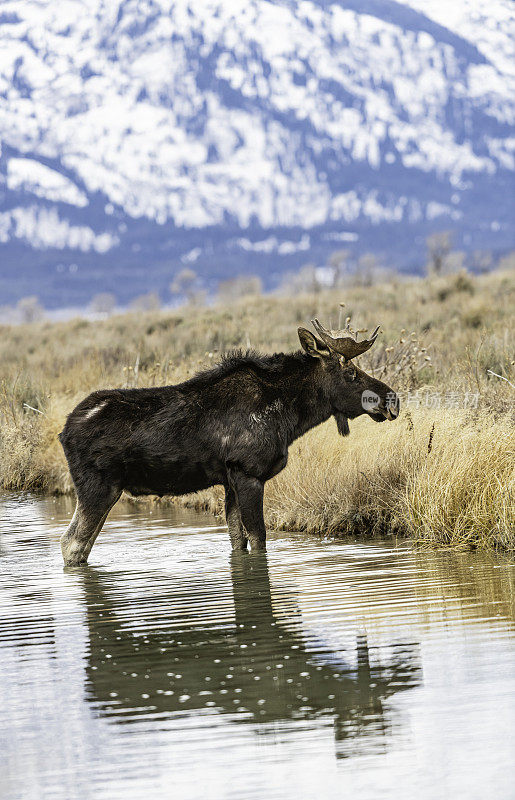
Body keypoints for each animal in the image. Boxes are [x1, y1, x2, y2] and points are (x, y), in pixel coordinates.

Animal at [59, 316, 400, 564]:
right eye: (351, 373)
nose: (392, 399)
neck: (292, 417)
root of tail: (64, 432)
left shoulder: (229, 479)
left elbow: (239, 540)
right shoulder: (248, 473)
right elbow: (259, 538)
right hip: (99, 487)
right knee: (72, 543)